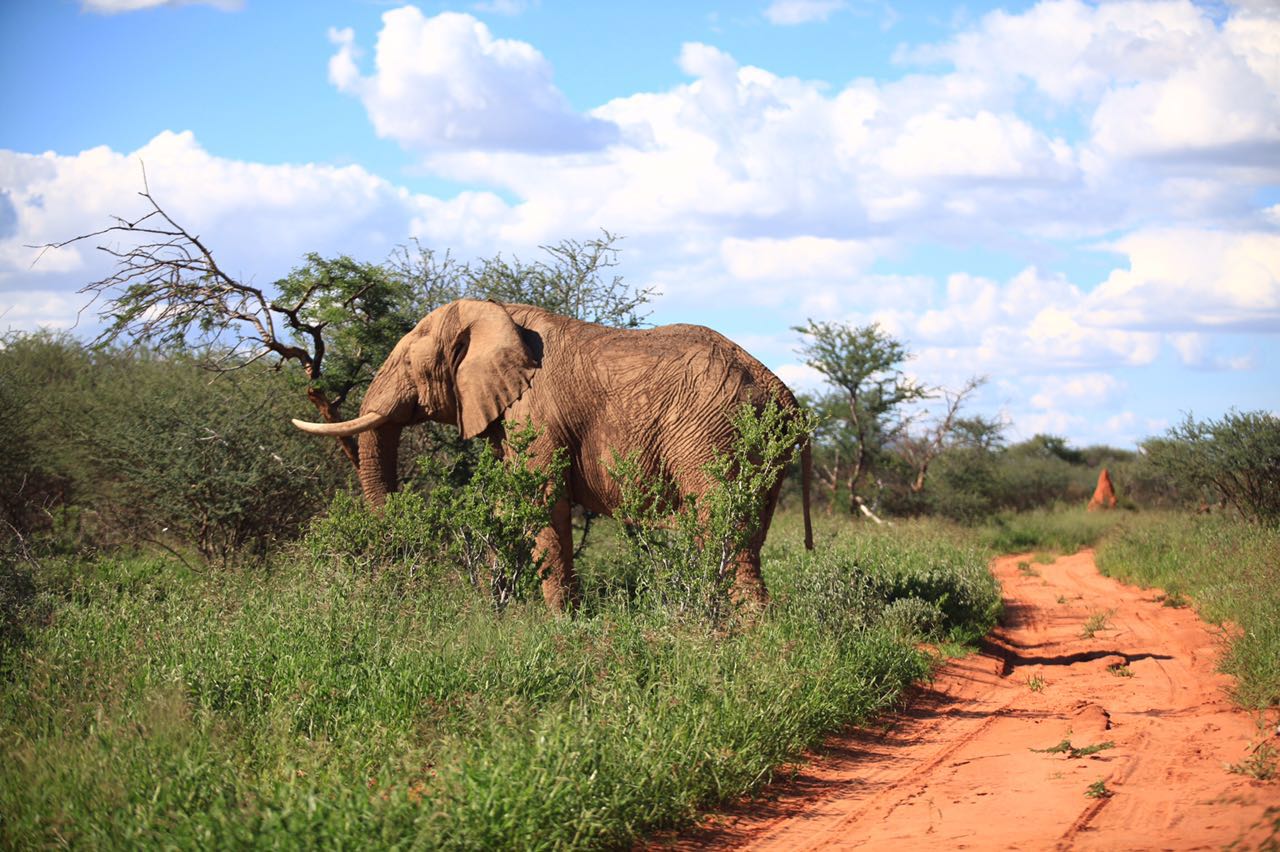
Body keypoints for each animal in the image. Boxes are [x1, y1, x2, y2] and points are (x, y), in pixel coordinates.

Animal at [293, 298, 808, 603]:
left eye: (406, 363)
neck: (497, 312)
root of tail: (781, 392)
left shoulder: (536, 411)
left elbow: (541, 502)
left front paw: (563, 622)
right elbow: (509, 506)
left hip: (713, 433)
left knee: (724, 528)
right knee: (747, 532)